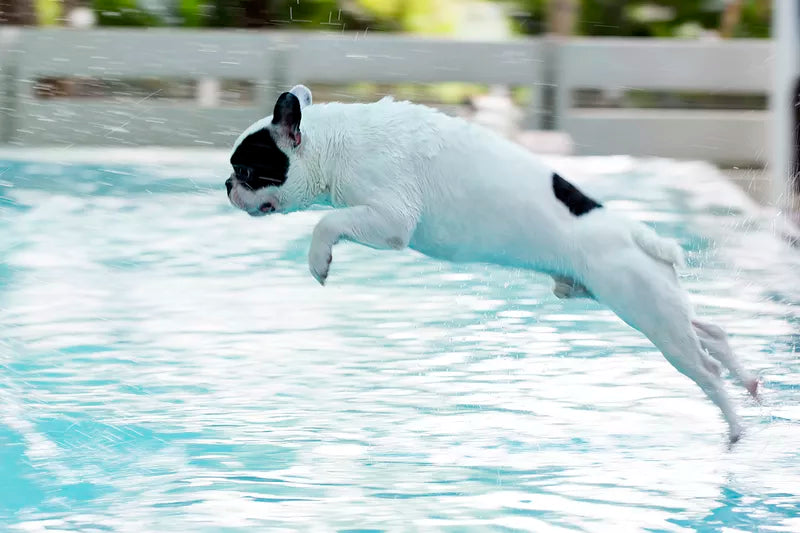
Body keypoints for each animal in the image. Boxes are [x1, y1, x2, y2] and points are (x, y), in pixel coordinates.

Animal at [227, 84, 764, 440]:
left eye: (246, 169)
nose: (226, 184)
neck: (335, 142)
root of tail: (634, 232)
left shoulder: (389, 220)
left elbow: (326, 222)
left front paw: (319, 258)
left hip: (649, 314)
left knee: (704, 368)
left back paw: (736, 427)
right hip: (640, 300)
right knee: (711, 330)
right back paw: (749, 381)